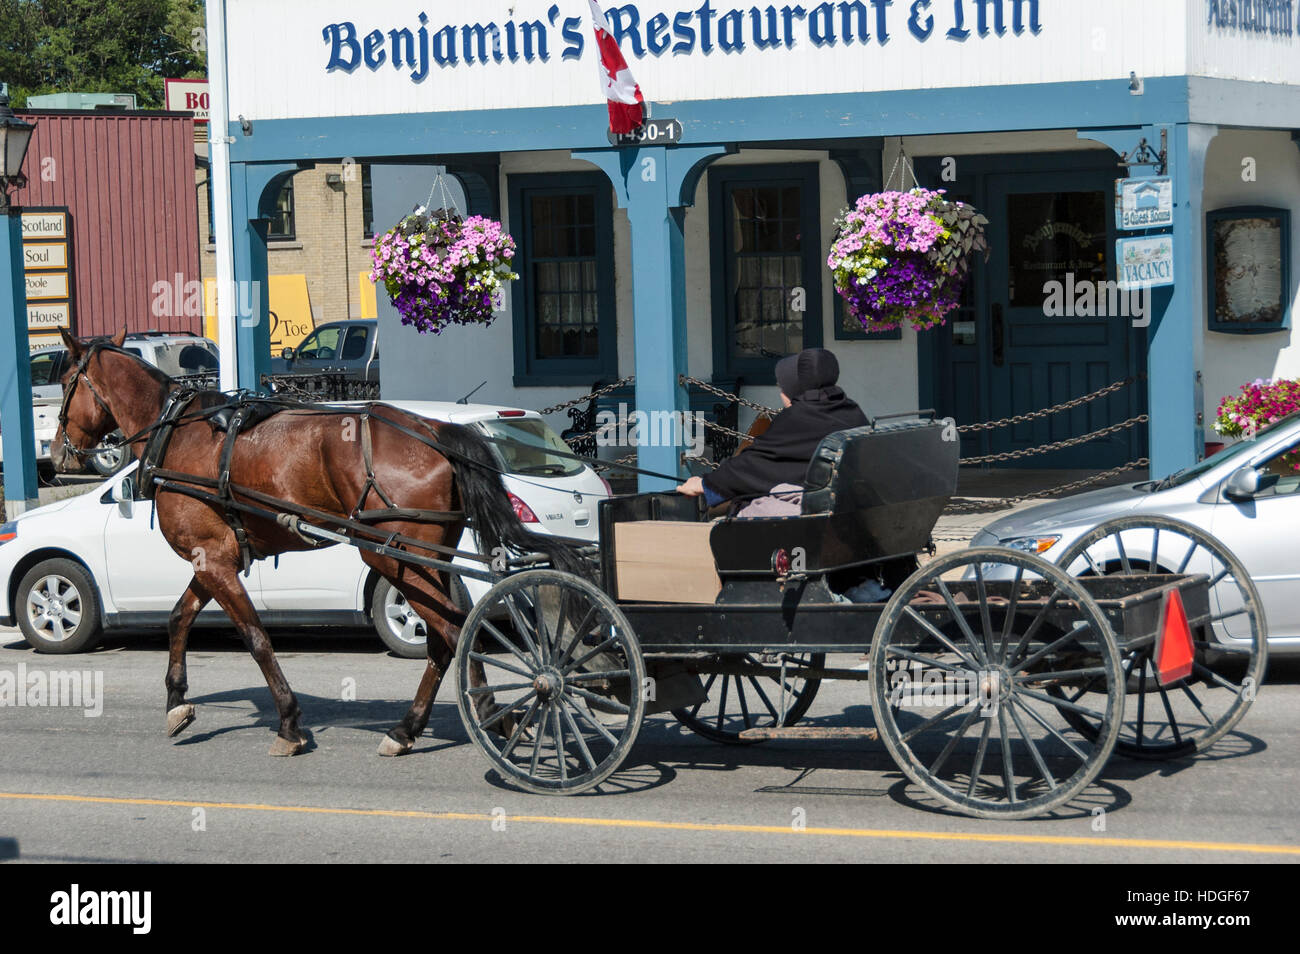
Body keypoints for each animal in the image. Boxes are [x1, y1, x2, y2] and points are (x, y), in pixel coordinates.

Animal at [52, 332, 585, 759]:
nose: (58, 452)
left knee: (457, 632)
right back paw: (410, 729)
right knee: (446, 637)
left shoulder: (213, 560)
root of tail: (435, 430)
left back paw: (494, 713)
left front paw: (289, 724)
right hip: (427, 559)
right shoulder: (216, 559)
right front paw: (177, 702)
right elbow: (178, 618)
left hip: (392, 556)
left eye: (65, 381)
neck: (177, 433)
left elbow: (256, 639)